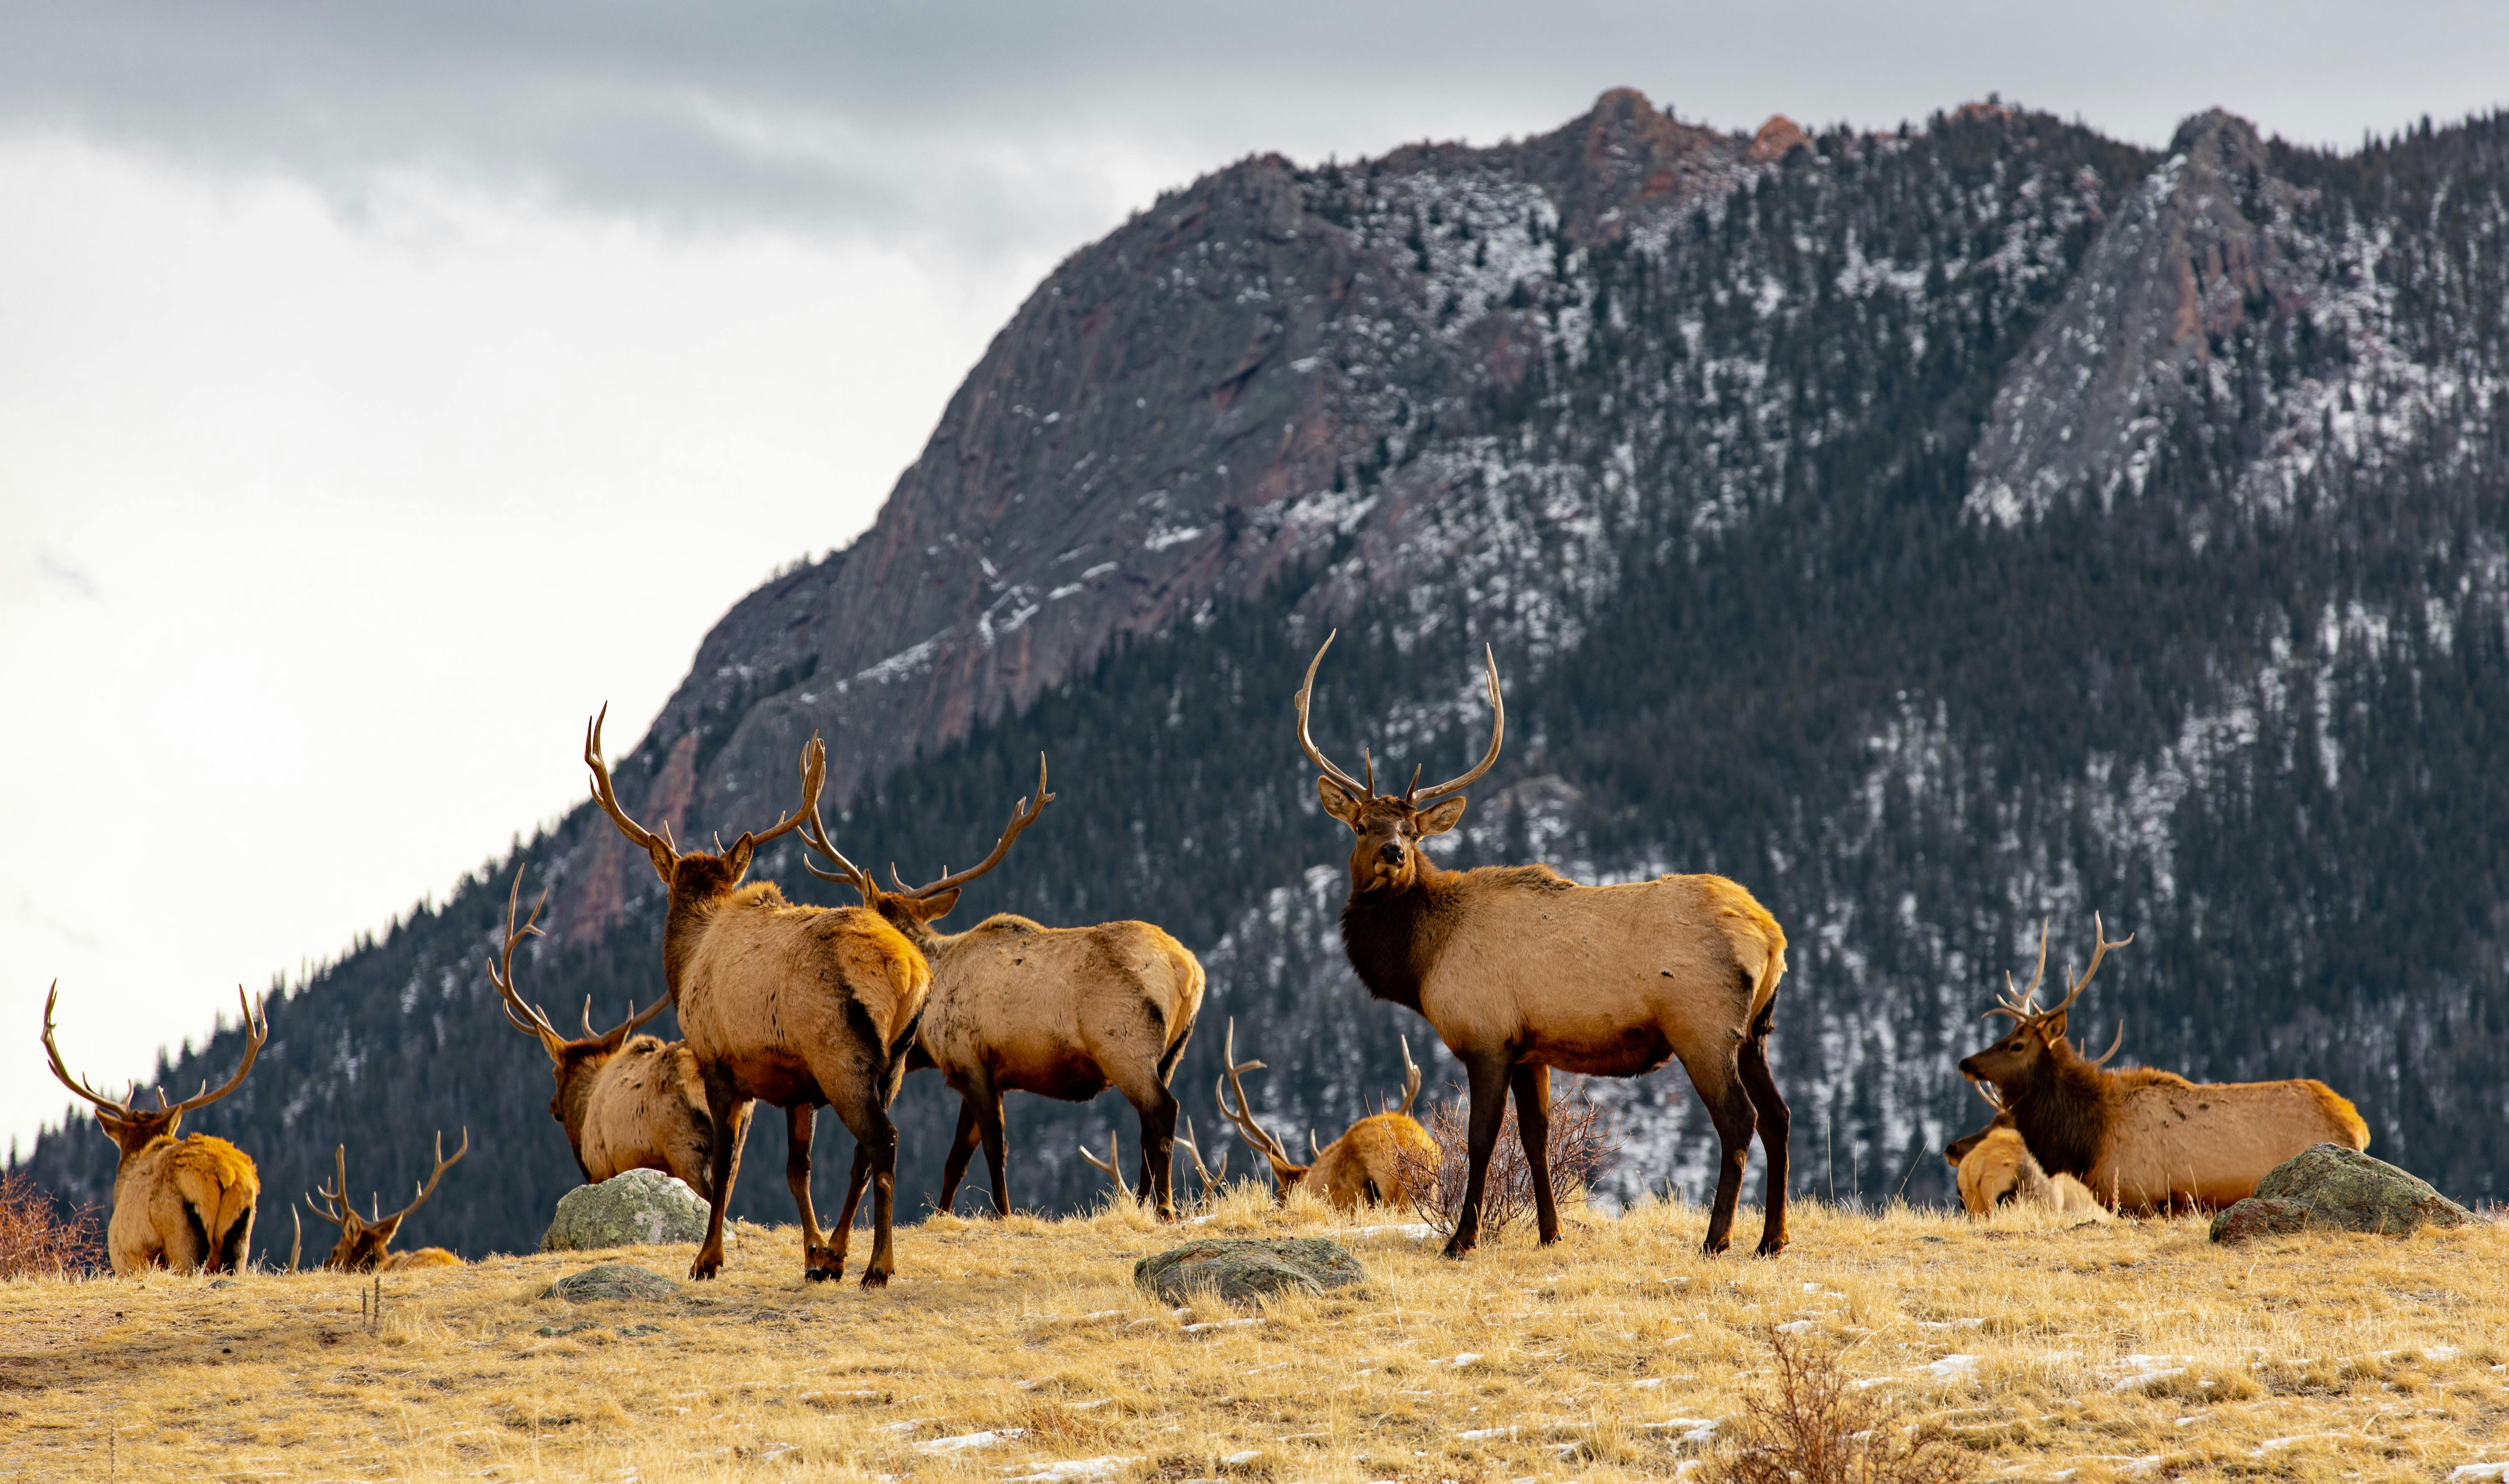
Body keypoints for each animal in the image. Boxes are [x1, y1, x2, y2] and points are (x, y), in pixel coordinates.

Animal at [584, 705, 932, 1285]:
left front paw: (707, 1259)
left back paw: (878, 1267)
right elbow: (797, 1169)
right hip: (895, 1063)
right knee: (866, 1152)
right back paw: (846, 1259)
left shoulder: (719, 1062)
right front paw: (814, 1254)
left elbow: (726, 1167)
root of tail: (911, 970)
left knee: (883, 1141)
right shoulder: (795, 1086)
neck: (687, 962)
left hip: (842, 1052)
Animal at [797, 757, 1206, 1221]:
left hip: (1123, 1046)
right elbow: (956, 1158)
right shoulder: (985, 1072)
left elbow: (994, 1147)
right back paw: (1142, 1204)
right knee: (1147, 1125)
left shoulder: (970, 1059)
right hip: (1171, 1053)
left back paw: (1164, 1207)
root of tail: (1188, 970)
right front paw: (942, 1213)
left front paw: (1003, 1211)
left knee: (1163, 1111)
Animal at [1294, 632, 1791, 1258]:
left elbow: (1481, 1139)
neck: (1422, 961)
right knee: (1779, 1116)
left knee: (1739, 1120)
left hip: (1703, 1027)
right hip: (1756, 1031)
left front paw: (1461, 1240)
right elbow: (1535, 1136)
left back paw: (1717, 1238)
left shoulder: (1486, 1037)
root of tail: (1772, 935)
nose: (1393, 853)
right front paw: (1551, 1233)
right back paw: (1773, 1239)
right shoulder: (1531, 1048)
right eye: (1362, 826)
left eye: (1412, 831)